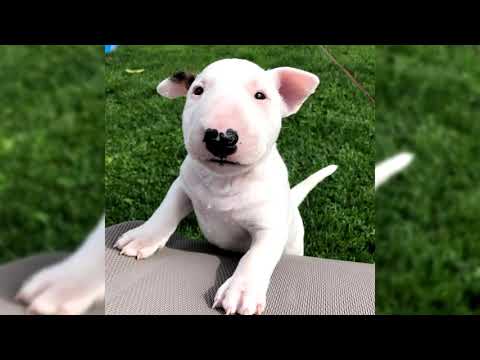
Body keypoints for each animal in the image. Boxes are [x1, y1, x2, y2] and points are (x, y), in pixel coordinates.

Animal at [114, 59, 338, 316]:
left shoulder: (270, 227)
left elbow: (256, 256)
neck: (224, 181)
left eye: (260, 95)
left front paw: (241, 291)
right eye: (197, 90)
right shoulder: (183, 185)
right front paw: (143, 238)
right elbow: (166, 210)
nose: (221, 137)